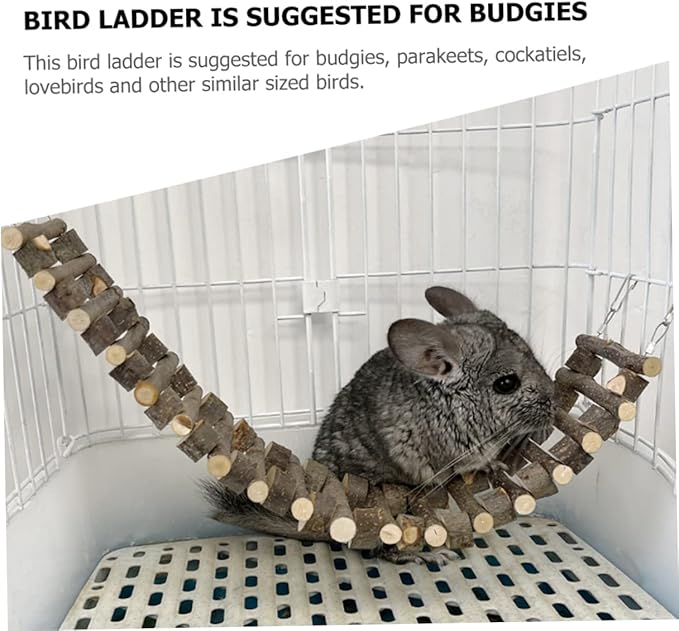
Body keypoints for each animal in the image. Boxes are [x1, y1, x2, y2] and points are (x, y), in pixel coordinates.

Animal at [202, 286, 555, 562]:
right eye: (507, 383)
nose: (554, 405)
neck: (448, 398)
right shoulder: (453, 450)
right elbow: (475, 461)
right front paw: (495, 463)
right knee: (385, 551)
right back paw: (432, 555)